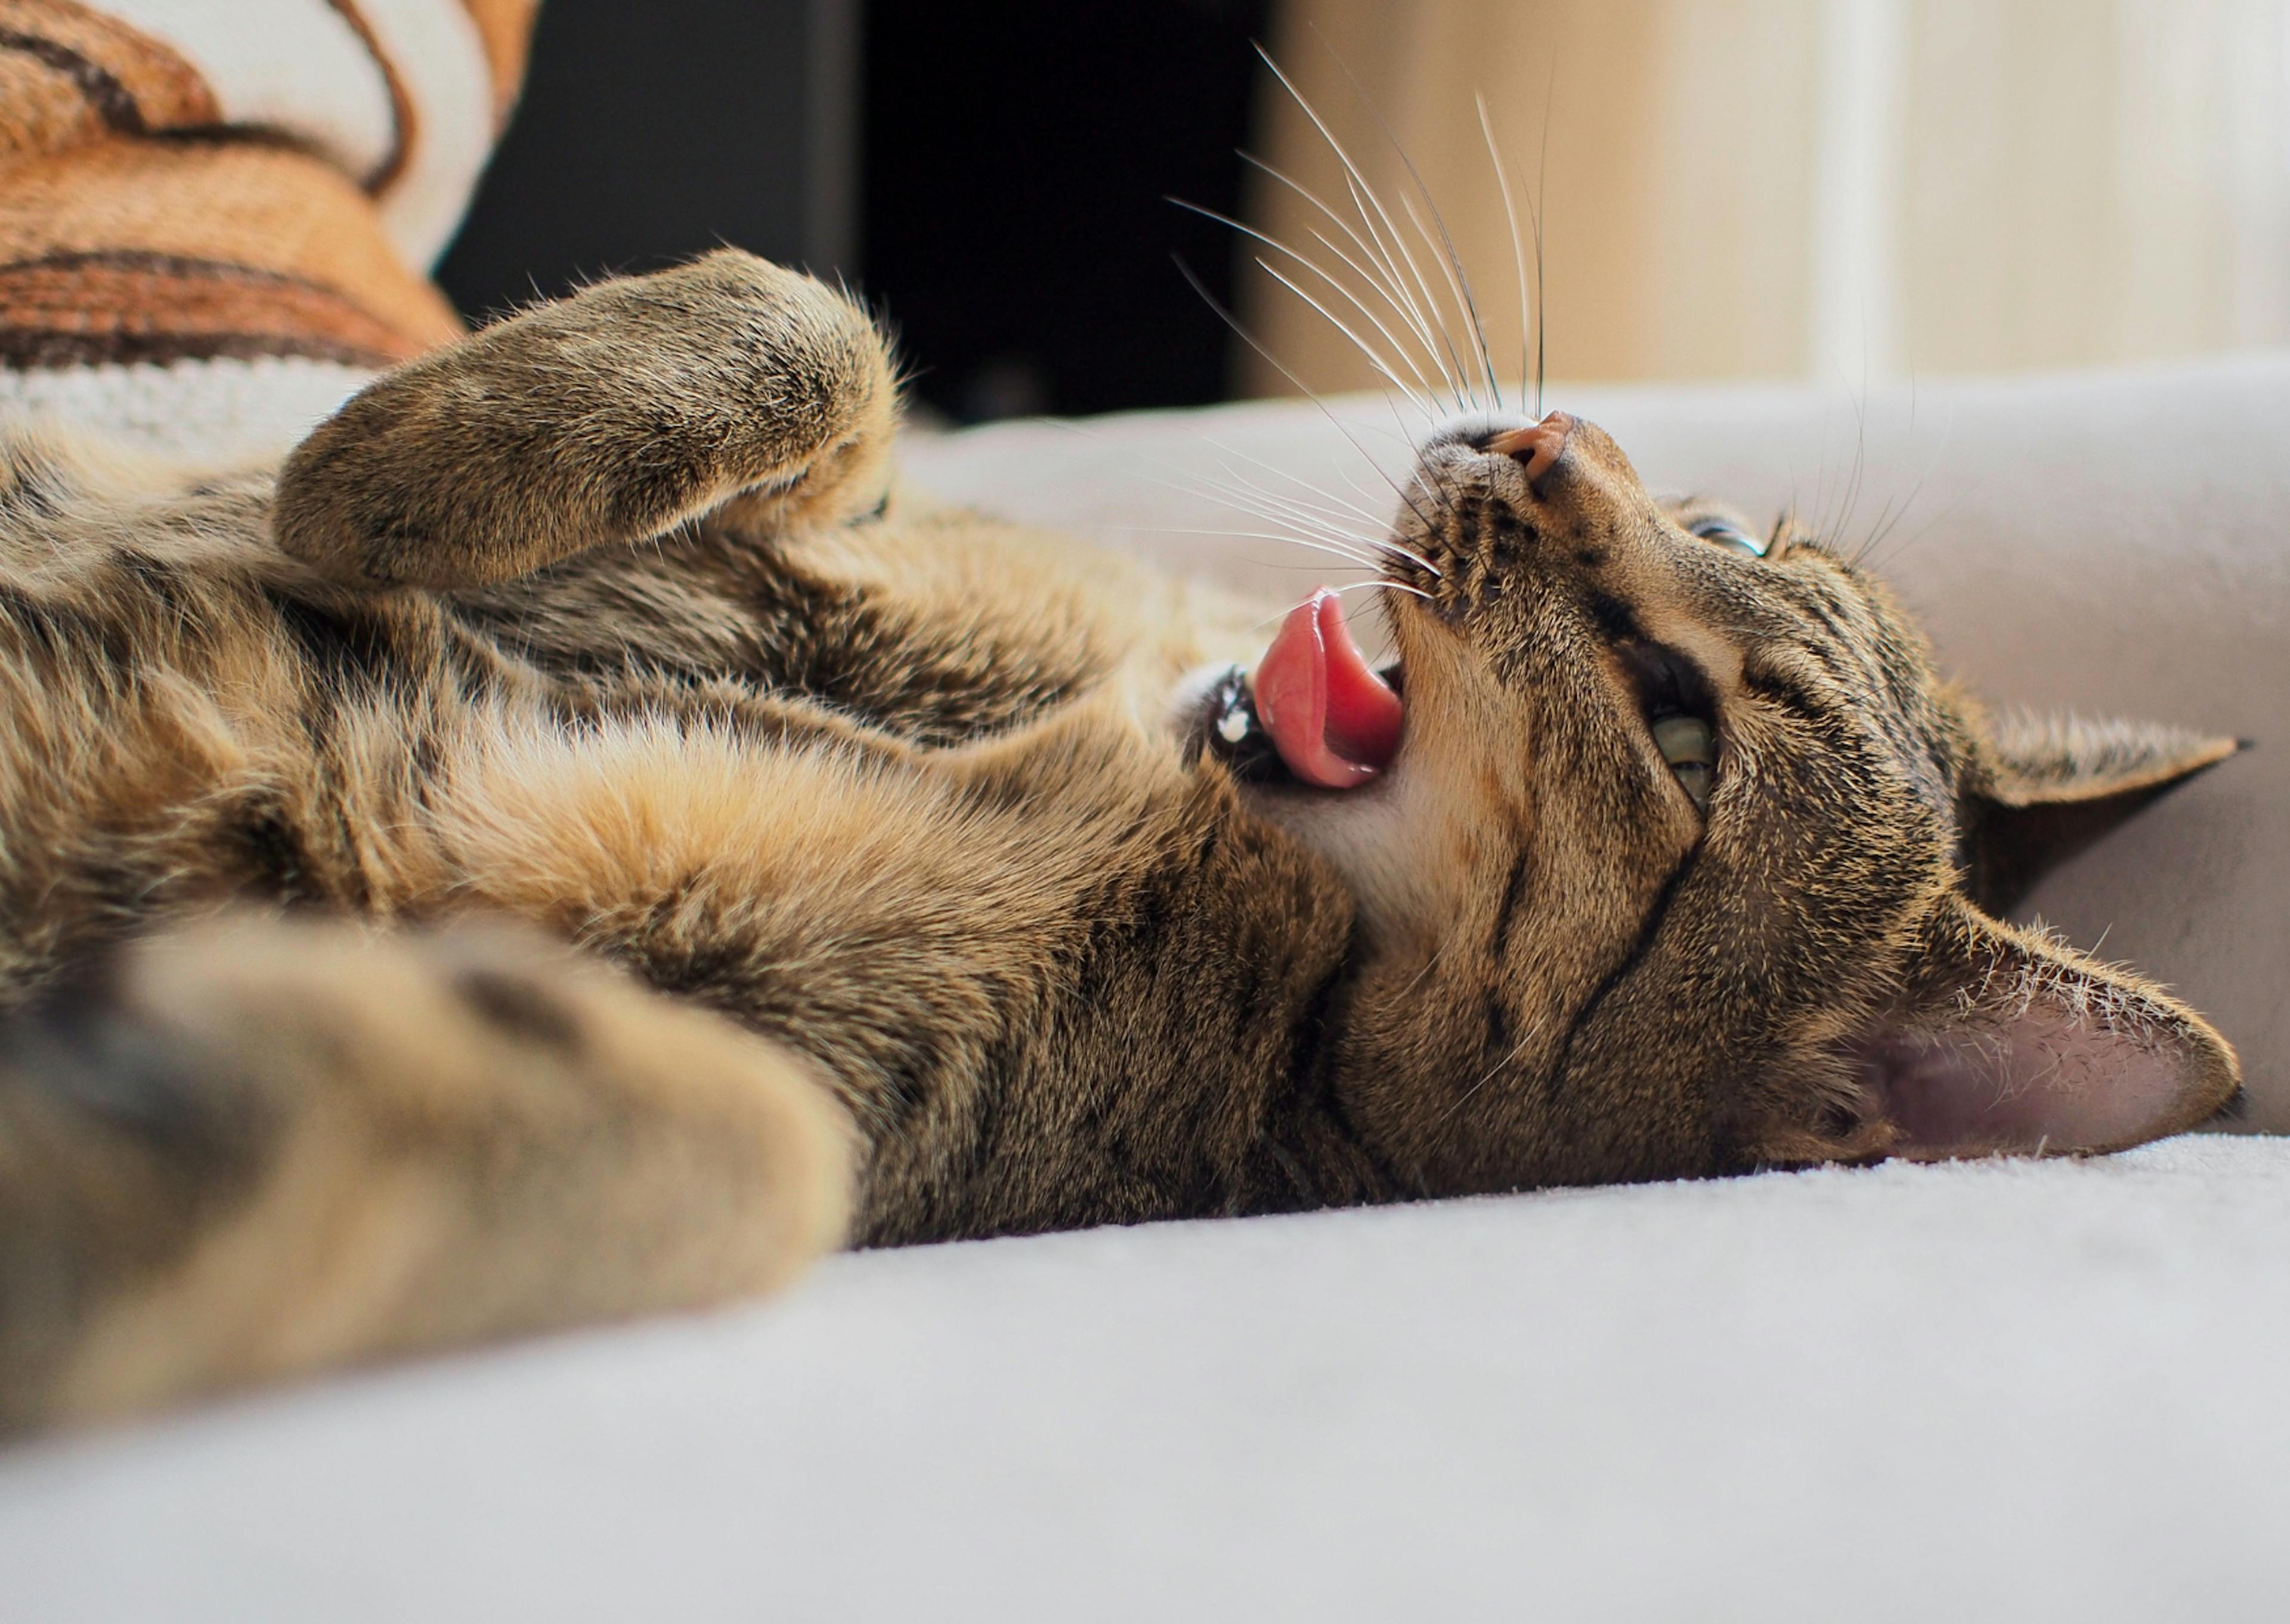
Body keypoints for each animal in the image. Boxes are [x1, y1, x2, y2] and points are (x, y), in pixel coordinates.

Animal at [0, 247, 2235, 1429]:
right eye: (1717, 516)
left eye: (1681, 730)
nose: (1543, 431)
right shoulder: (870, 510)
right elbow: (817, 327)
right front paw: (391, 462)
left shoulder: (849, 1083)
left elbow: (724, 1149)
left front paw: (168, 1123)